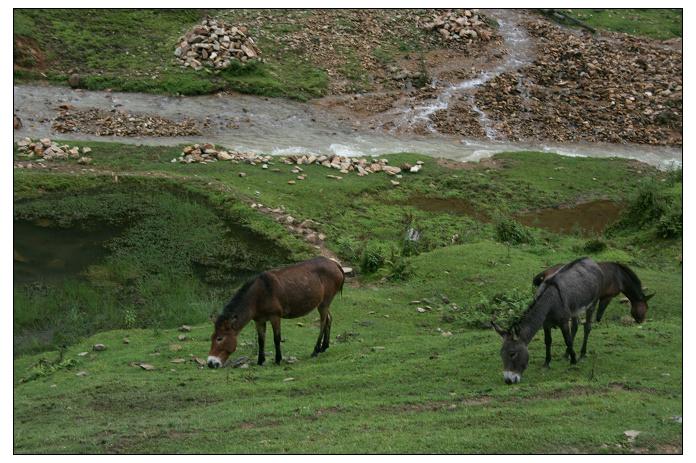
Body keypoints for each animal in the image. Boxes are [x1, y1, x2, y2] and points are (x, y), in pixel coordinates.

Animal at [208, 258, 346, 370]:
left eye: (220, 338)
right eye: (212, 337)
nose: (210, 363)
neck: (257, 296)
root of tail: (336, 264)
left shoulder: (275, 316)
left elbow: (276, 338)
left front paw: (278, 359)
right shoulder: (259, 320)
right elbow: (261, 340)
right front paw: (260, 361)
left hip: (324, 302)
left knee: (323, 323)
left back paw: (316, 350)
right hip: (323, 303)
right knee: (329, 319)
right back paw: (324, 347)